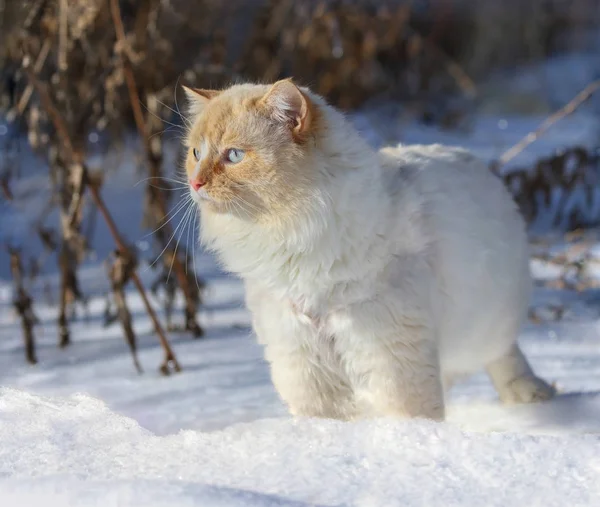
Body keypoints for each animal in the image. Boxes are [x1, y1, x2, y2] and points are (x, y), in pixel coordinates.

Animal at [184, 79, 556, 420]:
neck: (292, 235)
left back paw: (528, 393)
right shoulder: (302, 357)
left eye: (234, 156)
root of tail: (468, 158)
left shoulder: (389, 349)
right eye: (196, 154)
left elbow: (409, 415)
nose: (195, 183)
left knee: (502, 355)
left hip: (482, 329)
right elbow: (322, 419)